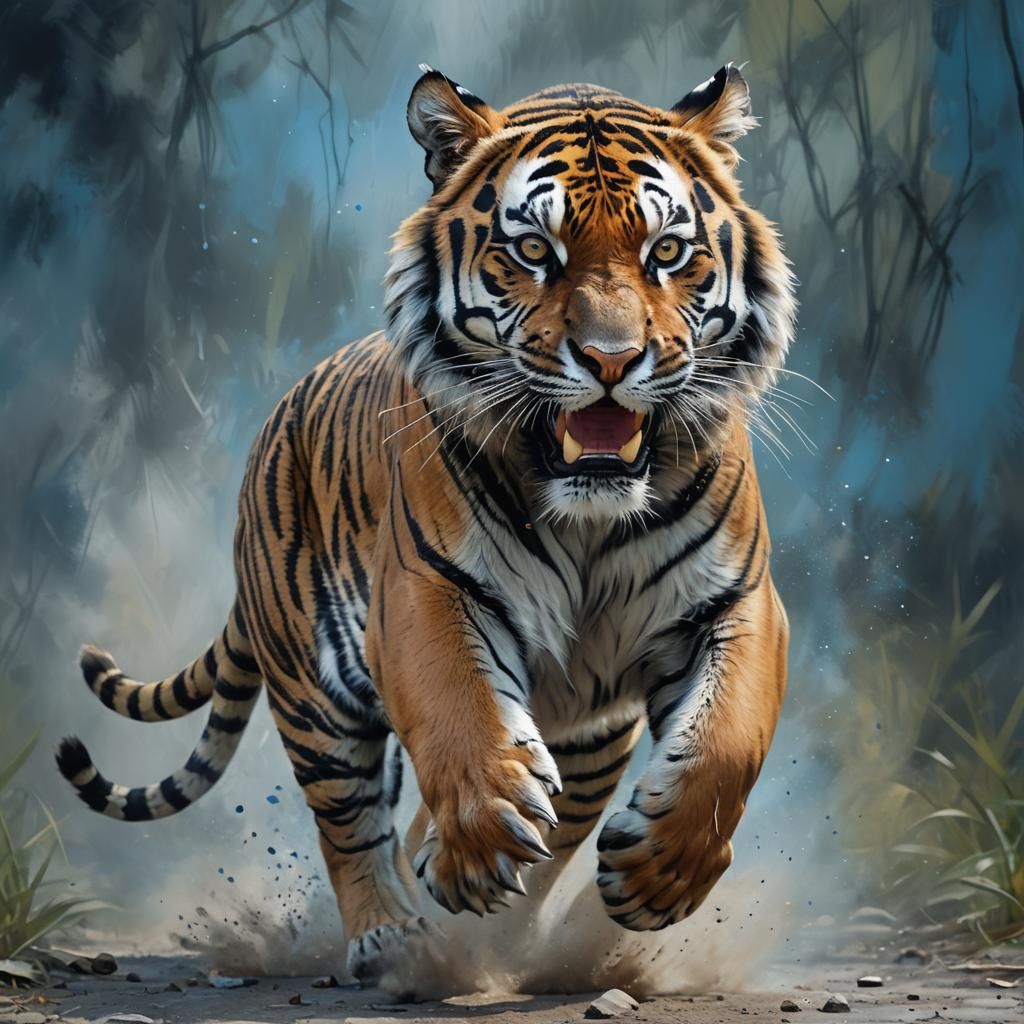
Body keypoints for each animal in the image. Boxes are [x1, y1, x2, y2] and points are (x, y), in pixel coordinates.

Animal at [57, 63, 795, 987]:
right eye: (533, 251)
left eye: (666, 251)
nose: (612, 360)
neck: (588, 512)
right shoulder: (425, 589)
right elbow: (458, 716)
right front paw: (477, 848)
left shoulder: (737, 603)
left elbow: (726, 744)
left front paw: (659, 875)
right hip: (316, 696)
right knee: (351, 824)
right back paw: (393, 934)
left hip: (589, 739)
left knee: (533, 815)